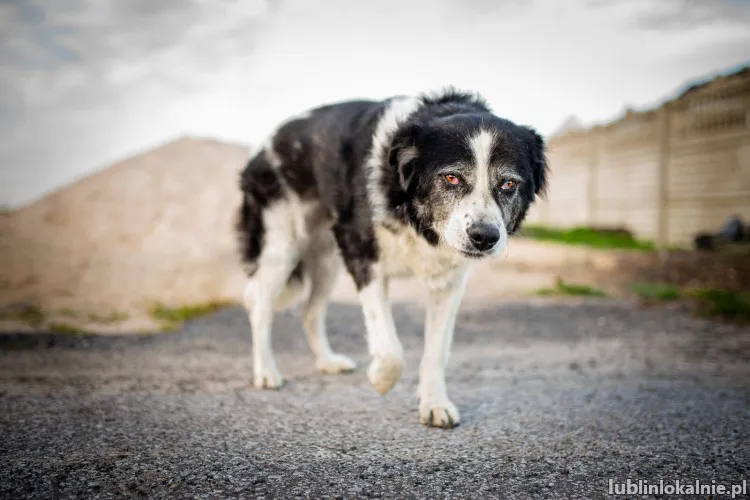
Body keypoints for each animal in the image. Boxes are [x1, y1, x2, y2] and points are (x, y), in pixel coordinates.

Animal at [238, 89, 548, 426]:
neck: (412, 213)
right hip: (281, 244)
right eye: (451, 178)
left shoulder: (448, 282)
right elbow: (389, 349)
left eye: (509, 183)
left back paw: (327, 361)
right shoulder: (363, 256)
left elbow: (437, 351)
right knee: (259, 304)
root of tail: (266, 143)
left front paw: (435, 403)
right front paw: (381, 380)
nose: (485, 237)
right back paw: (266, 372)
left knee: (309, 310)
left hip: (326, 258)